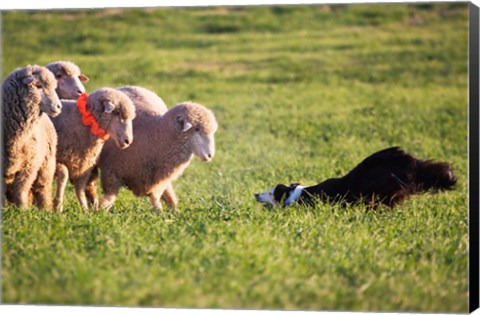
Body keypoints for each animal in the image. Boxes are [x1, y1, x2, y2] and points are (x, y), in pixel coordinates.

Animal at [2, 65, 62, 210]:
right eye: (39, 86)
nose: (59, 106)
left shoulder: (29, 167)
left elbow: (21, 190)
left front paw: (22, 211)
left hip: (47, 164)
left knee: (42, 187)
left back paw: (45, 210)